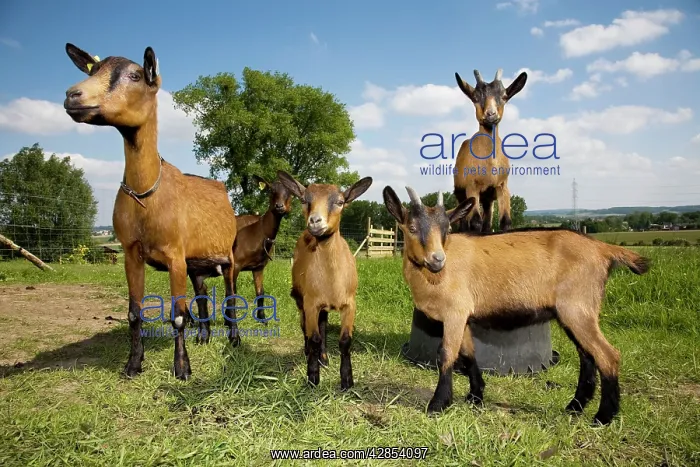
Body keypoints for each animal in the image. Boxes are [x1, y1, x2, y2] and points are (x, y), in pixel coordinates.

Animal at [63, 43, 240, 380]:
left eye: (135, 75)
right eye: (93, 70)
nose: (72, 95)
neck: (146, 197)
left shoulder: (174, 255)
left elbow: (178, 316)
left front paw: (182, 368)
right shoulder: (132, 252)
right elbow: (134, 313)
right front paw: (133, 364)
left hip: (228, 255)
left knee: (229, 295)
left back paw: (234, 339)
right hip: (196, 262)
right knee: (201, 293)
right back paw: (204, 336)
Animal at [189, 174, 294, 337]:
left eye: (290, 192)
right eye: (271, 190)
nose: (279, 206)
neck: (258, 232)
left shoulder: (258, 267)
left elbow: (260, 292)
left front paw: (263, 320)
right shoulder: (236, 264)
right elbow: (233, 292)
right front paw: (229, 322)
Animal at [277, 170, 373, 390]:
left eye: (340, 201)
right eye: (304, 200)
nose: (315, 221)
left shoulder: (350, 304)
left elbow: (345, 341)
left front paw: (347, 380)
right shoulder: (311, 302)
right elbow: (313, 337)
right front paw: (313, 377)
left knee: (323, 325)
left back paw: (324, 357)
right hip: (301, 299)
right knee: (305, 327)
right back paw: (310, 355)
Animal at [382, 185, 650, 425]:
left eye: (447, 229)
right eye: (412, 228)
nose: (437, 259)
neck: (434, 276)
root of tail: (603, 249)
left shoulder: (455, 313)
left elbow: (447, 354)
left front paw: (438, 404)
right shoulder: (464, 316)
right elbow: (468, 354)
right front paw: (475, 396)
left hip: (577, 308)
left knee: (608, 355)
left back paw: (603, 417)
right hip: (574, 313)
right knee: (587, 357)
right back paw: (574, 407)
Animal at [453, 69, 527, 233]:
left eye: (504, 96)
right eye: (475, 97)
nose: (491, 114)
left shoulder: (502, 186)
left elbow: (506, 221)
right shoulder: (471, 186)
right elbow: (475, 222)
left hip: (487, 198)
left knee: (487, 221)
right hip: (461, 193)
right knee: (464, 221)